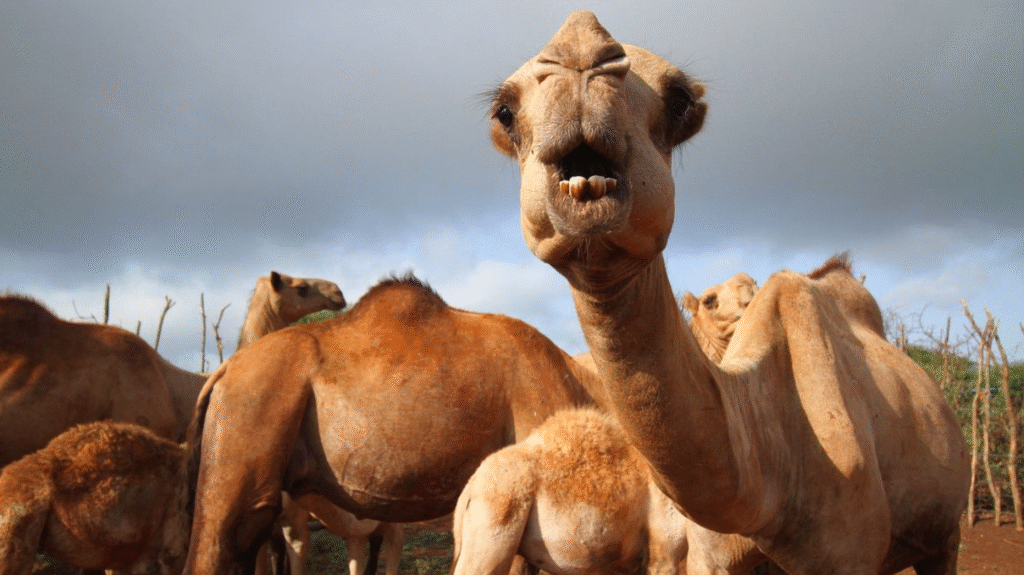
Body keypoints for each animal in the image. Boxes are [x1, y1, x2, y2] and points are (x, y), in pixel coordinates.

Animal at [490, 11, 969, 574]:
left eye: (679, 100)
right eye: (504, 112)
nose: (581, 51)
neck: (769, 481)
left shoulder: (848, 552)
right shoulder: (709, 554)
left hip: (946, 533)